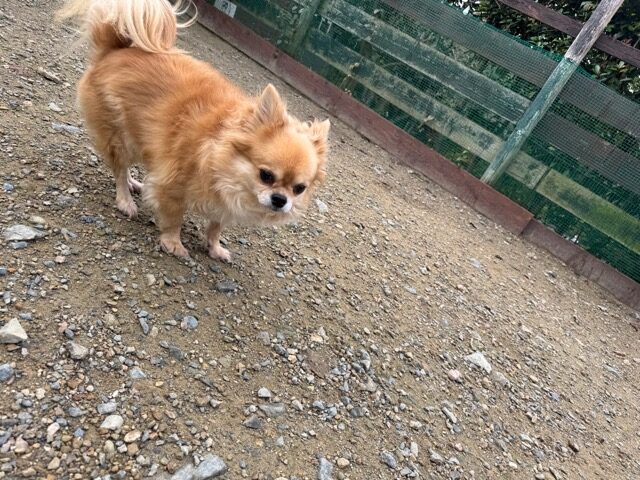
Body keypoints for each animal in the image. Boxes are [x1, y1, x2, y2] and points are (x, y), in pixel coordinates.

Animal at [58, 0, 330, 261]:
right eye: (266, 176)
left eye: (299, 189)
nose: (280, 200)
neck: (222, 157)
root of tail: (114, 50)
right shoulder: (171, 184)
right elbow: (173, 217)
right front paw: (173, 243)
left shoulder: (224, 203)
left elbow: (216, 225)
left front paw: (215, 247)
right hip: (120, 138)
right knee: (119, 169)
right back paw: (125, 200)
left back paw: (135, 183)